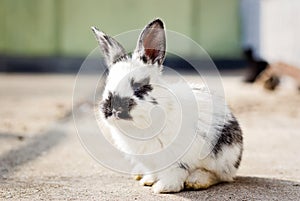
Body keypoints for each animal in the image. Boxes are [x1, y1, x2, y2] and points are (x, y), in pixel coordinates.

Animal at [90, 18, 243, 193]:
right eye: (107, 85)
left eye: (140, 86)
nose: (113, 110)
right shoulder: (150, 161)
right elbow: (152, 171)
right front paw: (148, 181)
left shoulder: (177, 159)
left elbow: (174, 173)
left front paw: (162, 188)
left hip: (221, 158)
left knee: (218, 175)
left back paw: (197, 181)